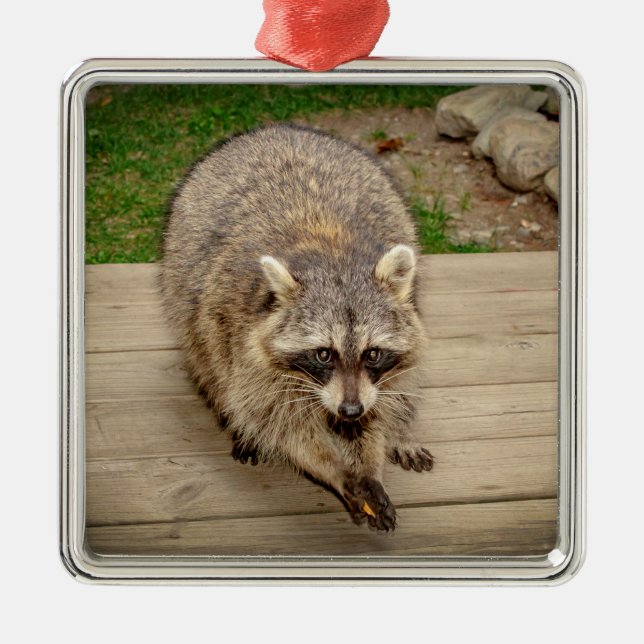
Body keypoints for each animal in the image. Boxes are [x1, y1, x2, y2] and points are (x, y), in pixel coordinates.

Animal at [161, 124, 433, 531]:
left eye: (372, 353)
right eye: (323, 354)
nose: (349, 410)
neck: (332, 253)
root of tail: (277, 129)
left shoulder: (379, 372)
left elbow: (381, 404)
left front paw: (372, 457)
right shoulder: (241, 337)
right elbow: (277, 421)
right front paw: (336, 470)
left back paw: (401, 430)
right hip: (187, 295)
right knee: (207, 362)